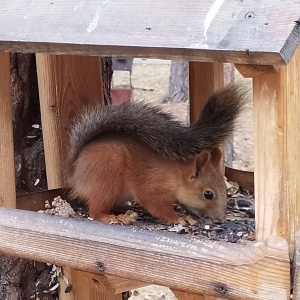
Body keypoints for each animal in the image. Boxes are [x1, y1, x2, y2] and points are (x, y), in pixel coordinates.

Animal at [67, 83, 246, 224]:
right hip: (106, 179)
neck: (176, 175)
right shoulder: (153, 185)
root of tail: (75, 172)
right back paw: (110, 217)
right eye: (208, 194)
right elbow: (155, 204)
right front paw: (178, 218)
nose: (220, 219)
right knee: (96, 208)